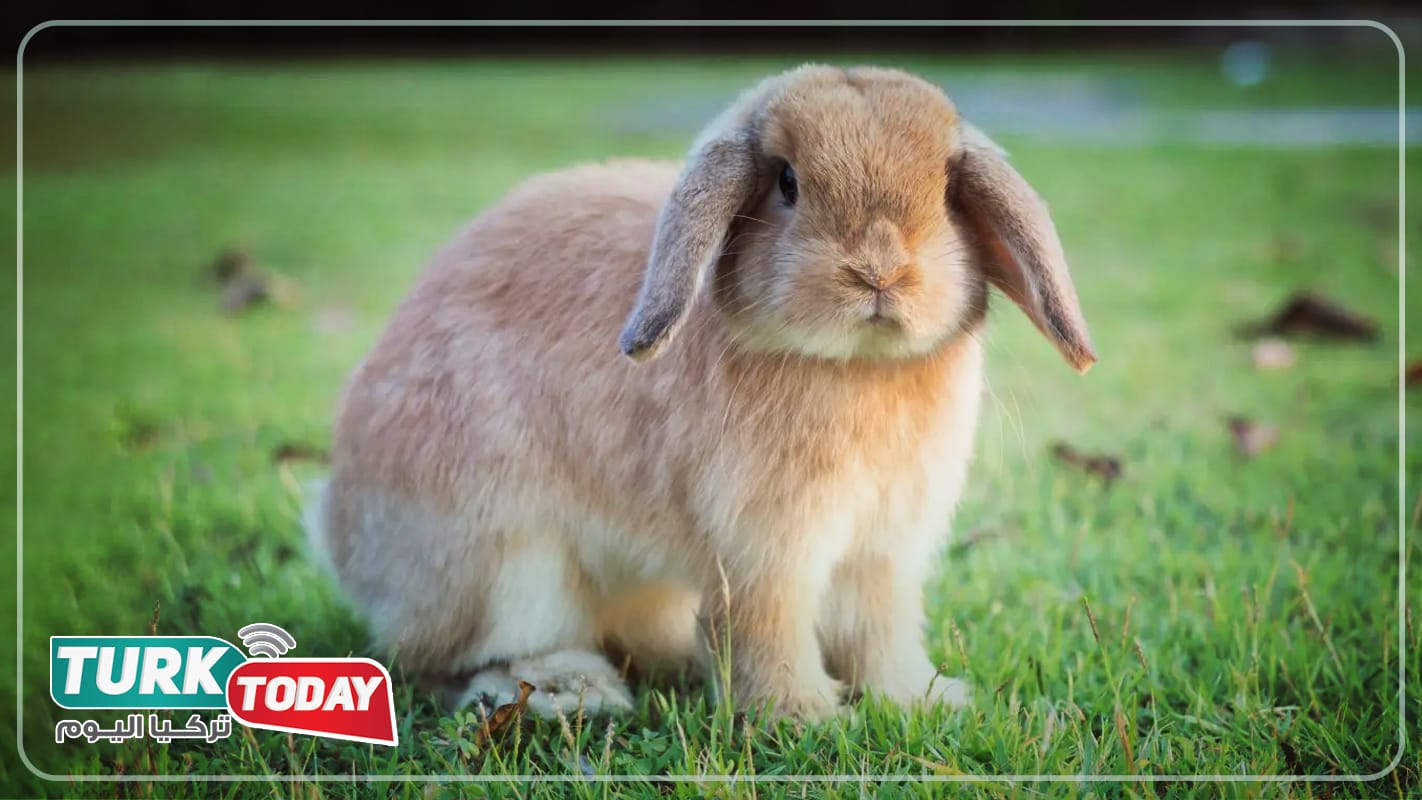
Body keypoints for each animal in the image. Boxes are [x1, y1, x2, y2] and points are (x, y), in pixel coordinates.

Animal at [307, 63, 1095, 722]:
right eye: (787, 183)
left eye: (944, 190)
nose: (879, 271)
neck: (855, 366)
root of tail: (339, 529)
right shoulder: (764, 552)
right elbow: (767, 627)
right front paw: (802, 717)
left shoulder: (884, 553)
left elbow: (881, 635)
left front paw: (922, 702)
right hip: (506, 564)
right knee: (448, 660)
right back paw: (570, 691)